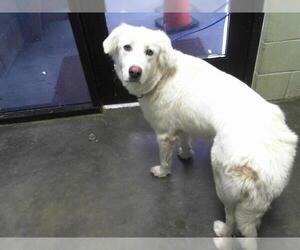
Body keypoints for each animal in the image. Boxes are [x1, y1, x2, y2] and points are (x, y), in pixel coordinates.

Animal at [103, 23, 298, 238]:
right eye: (126, 47)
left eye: (149, 52)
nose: (135, 71)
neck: (163, 76)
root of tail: (266, 167)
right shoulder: (182, 124)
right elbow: (185, 141)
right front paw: (185, 155)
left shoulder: (164, 135)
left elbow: (165, 160)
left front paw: (162, 172)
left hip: (224, 186)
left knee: (232, 218)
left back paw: (222, 230)